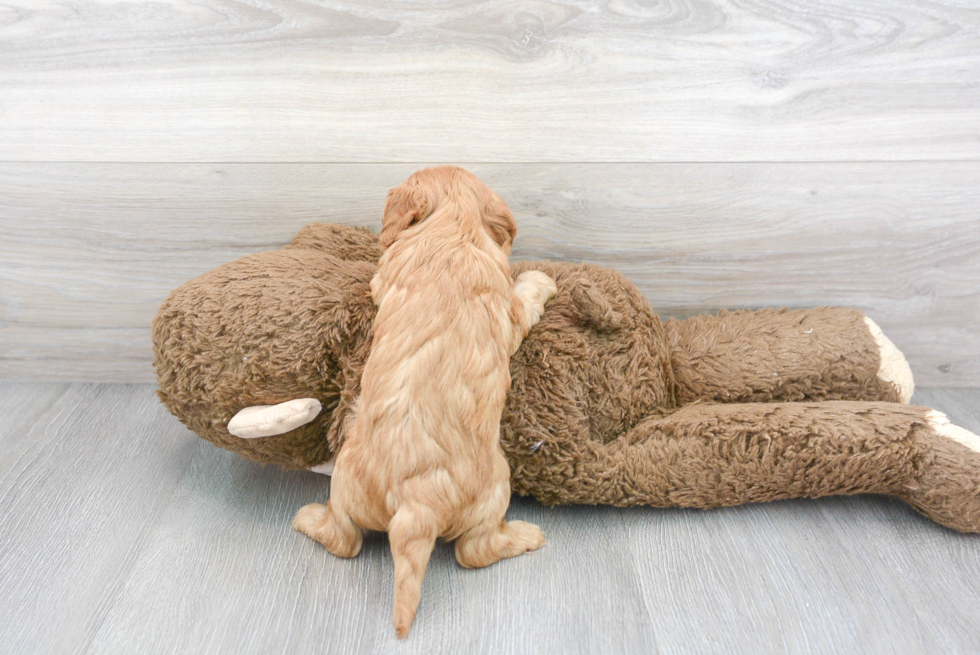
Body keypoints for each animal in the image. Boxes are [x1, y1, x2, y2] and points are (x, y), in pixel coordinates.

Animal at [292, 167, 560, 640]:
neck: (452, 230)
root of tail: (416, 502)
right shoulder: (508, 312)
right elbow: (524, 299)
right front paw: (539, 280)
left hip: (346, 479)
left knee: (346, 539)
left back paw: (309, 519)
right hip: (496, 487)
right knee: (474, 550)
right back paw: (525, 536)